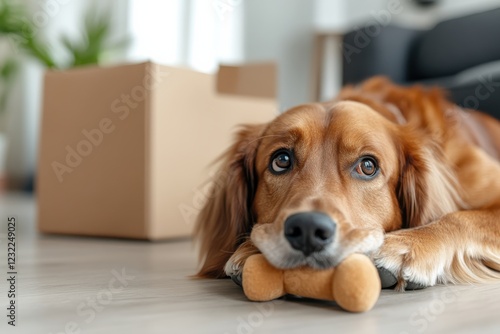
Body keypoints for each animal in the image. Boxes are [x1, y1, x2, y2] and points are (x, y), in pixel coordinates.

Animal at [194, 77, 500, 290]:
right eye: (281, 160)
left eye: (368, 166)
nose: (308, 229)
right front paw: (250, 249)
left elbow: (460, 218)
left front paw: (409, 244)